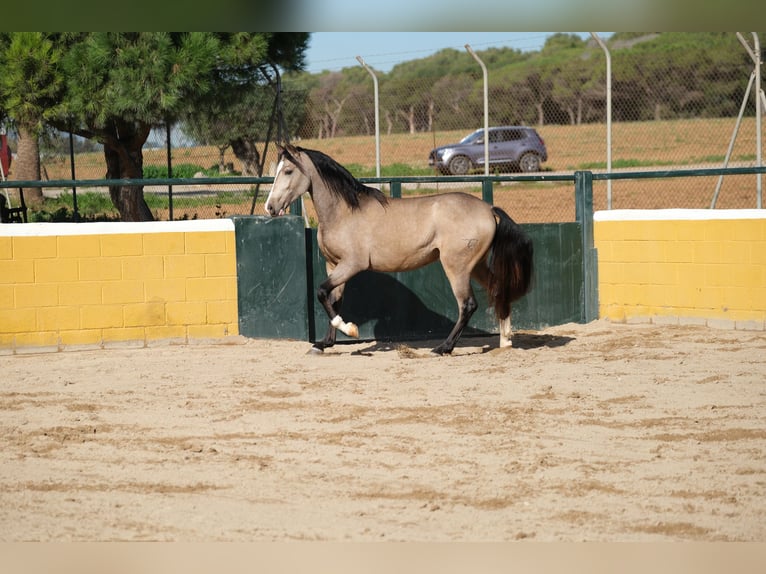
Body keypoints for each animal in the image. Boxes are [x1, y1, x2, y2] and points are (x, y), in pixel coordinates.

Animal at [264, 144, 536, 356]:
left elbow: (321, 293)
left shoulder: (352, 265)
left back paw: (443, 348)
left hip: (456, 266)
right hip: (476, 265)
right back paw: (505, 341)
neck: (344, 212)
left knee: (468, 305)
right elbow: (332, 299)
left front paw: (350, 330)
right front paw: (323, 344)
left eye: (288, 171)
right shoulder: (333, 265)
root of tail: (488, 209)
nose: (270, 207)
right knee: (498, 289)